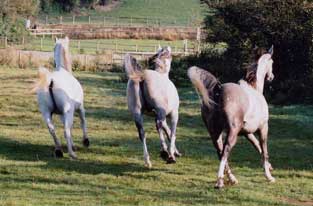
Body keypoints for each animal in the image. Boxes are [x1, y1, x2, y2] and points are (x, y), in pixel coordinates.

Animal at [188, 46, 272, 188]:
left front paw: (270, 167)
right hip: (231, 133)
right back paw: (220, 181)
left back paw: (231, 179)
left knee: (220, 151)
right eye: (272, 62)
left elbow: (257, 146)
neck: (254, 89)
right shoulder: (263, 128)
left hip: (215, 133)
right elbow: (264, 149)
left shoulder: (247, 133)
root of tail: (219, 90)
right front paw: (269, 176)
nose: (271, 77)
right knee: (225, 152)